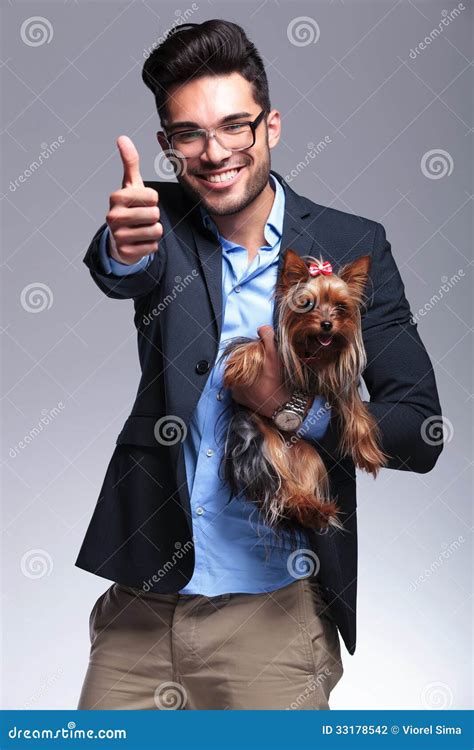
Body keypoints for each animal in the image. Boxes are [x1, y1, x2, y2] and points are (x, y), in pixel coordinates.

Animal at [220, 251, 386, 536]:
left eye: (341, 307)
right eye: (307, 304)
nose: (327, 324)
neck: (312, 354)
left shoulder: (339, 383)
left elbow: (355, 408)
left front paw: (367, 451)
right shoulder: (271, 342)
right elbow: (252, 346)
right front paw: (239, 365)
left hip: (309, 456)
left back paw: (314, 510)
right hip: (264, 442)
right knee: (280, 482)